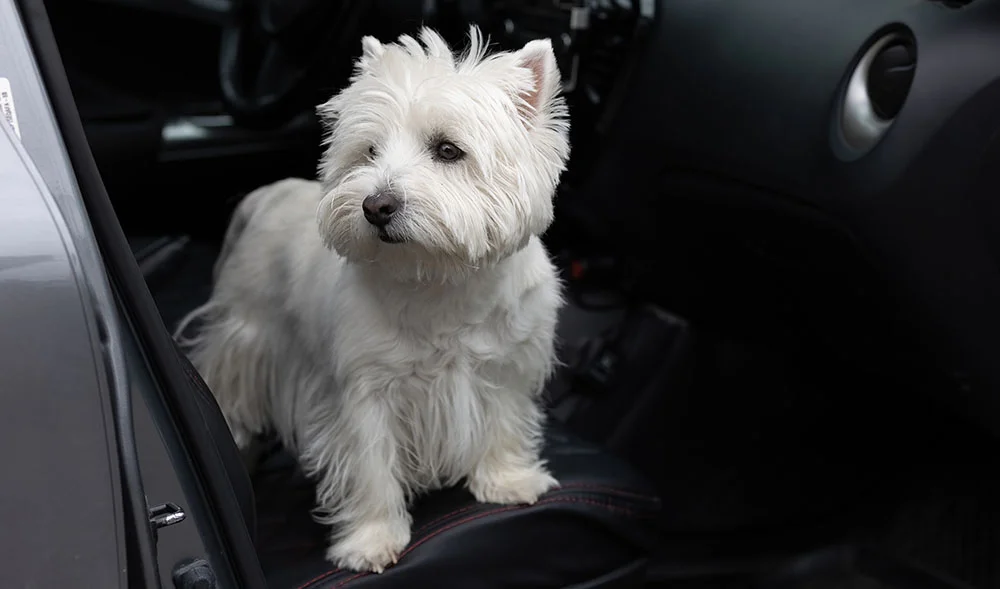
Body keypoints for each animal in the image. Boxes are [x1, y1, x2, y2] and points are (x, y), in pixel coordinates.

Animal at [178, 25, 572, 572]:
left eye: (448, 150)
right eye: (369, 151)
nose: (375, 205)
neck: (440, 279)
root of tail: (267, 195)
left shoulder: (505, 366)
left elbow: (503, 423)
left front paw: (508, 481)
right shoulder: (364, 392)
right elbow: (370, 466)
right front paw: (370, 540)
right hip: (246, 328)